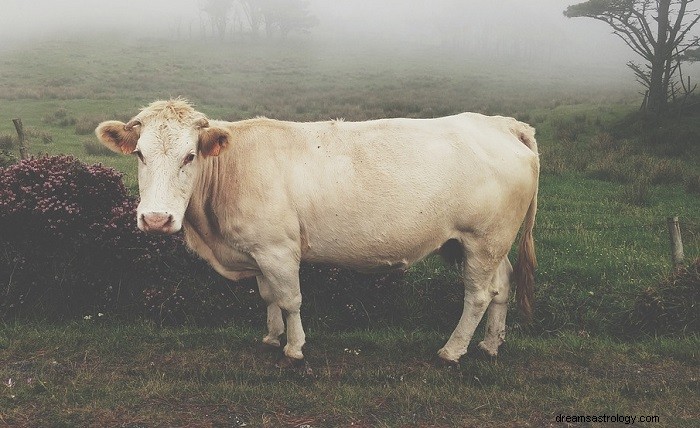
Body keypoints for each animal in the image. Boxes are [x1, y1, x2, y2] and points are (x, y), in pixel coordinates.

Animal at [96, 99, 539, 365]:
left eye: (189, 156)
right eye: (140, 154)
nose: (156, 219)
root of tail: (500, 123)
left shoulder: (278, 250)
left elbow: (291, 299)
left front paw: (294, 347)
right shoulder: (259, 251)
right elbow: (269, 296)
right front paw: (272, 337)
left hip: (483, 239)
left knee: (478, 295)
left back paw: (452, 350)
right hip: (483, 244)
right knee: (501, 286)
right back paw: (491, 343)